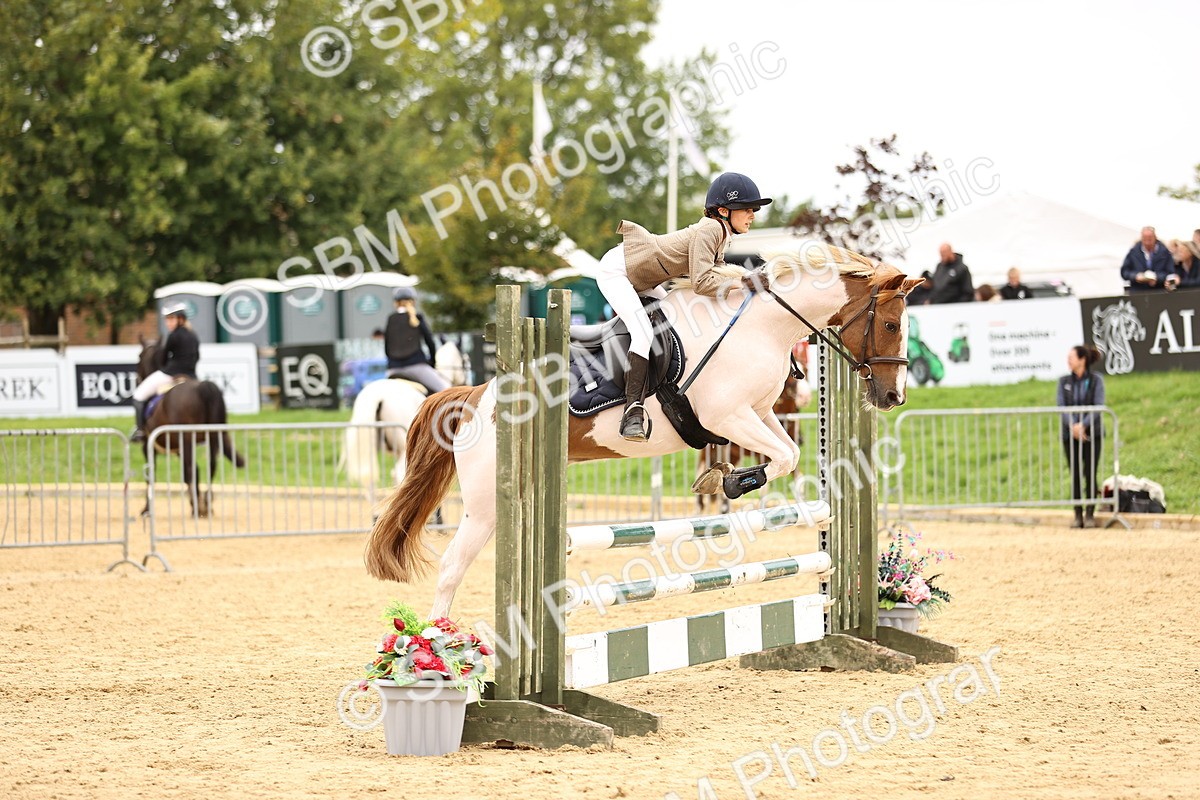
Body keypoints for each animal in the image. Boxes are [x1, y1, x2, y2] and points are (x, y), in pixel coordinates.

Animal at [136, 339, 245, 518]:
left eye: (139, 356)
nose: (137, 379)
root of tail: (202, 387)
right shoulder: (179, 448)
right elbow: (193, 473)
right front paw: (196, 503)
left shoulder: (147, 445)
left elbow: (152, 475)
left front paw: (146, 509)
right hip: (211, 437)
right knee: (211, 465)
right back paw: (207, 503)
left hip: (187, 438)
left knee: (192, 469)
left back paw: (200, 506)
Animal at [365, 246, 923, 617]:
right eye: (892, 326)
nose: (893, 397)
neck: (761, 325)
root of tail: (477, 395)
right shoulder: (728, 416)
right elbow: (780, 459)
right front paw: (726, 483)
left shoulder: (761, 414)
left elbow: (788, 453)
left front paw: (721, 480)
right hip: (485, 505)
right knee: (451, 568)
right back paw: (442, 651)